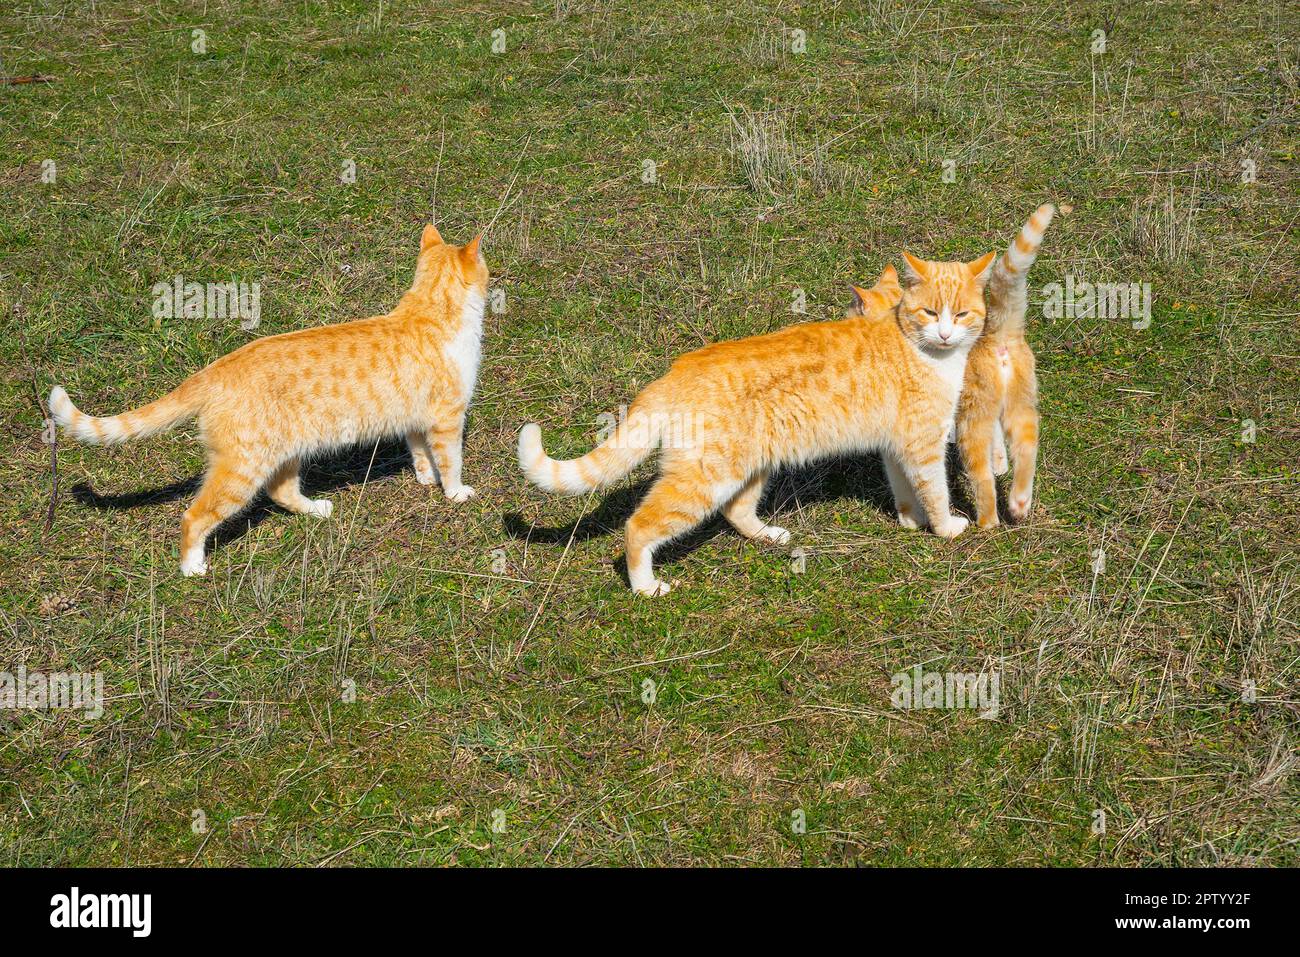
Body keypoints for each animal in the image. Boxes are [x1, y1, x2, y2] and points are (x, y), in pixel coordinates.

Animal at [49, 223, 488, 574]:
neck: (430, 311)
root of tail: (215, 369)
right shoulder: (447, 419)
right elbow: (451, 461)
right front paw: (455, 493)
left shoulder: (417, 420)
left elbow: (420, 455)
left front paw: (425, 479)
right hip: (243, 468)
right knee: (194, 516)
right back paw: (192, 567)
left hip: (284, 453)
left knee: (281, 493)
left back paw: (317, 510)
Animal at [517, 256, 993, 598]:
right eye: (930, 312)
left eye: (961, 314)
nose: (946, 335)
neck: (916, 346)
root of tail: (673, 372)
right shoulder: (923, 445)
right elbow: (936, 490)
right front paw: (945, 527)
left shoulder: (898, 448)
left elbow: (906, 489)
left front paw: (910, 521)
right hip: (703, 481)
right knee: (639, 528)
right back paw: (645, 587)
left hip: (750, 467)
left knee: (737, 511)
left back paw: (769, 536)